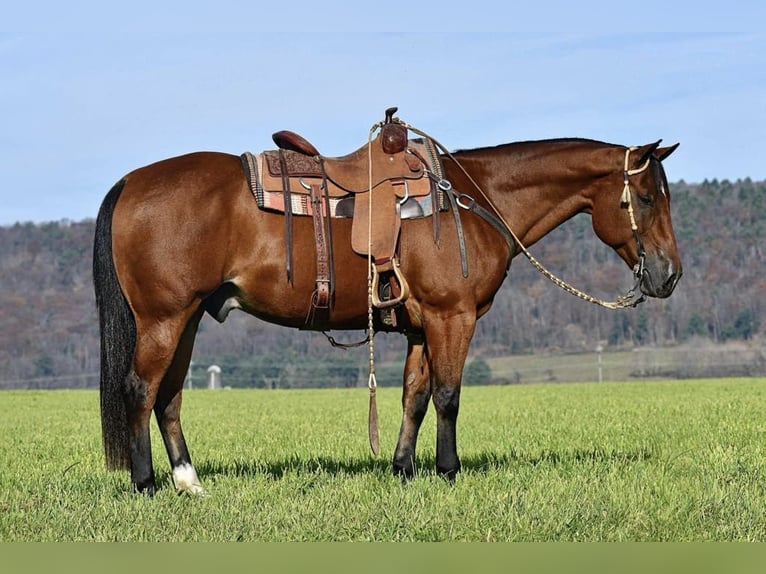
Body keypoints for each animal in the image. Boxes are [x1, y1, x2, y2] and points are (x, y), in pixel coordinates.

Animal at [91, 129, 684, 496]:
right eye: (647, 198)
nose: (669, 275)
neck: (475, 199)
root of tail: (130, 182)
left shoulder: (421, 326)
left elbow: (414, 397)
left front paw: (403, 470)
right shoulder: (453, 317)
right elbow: (448, 396)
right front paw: (448, 472)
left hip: (188, 318)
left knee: (169, 396)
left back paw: (189, 481)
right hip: (164, 319)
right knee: (141, 390)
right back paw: (146, 484)